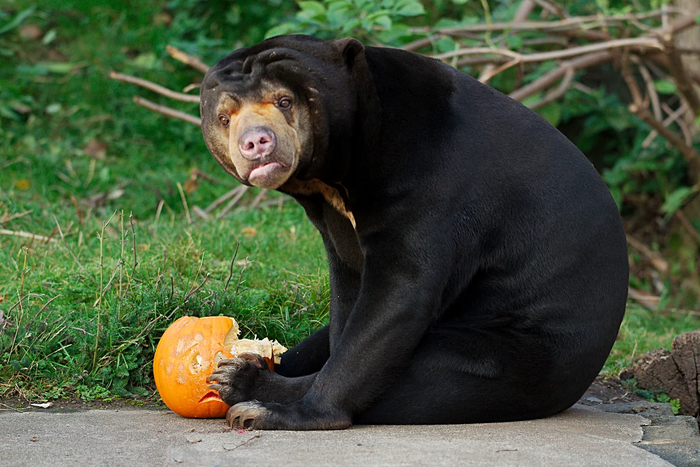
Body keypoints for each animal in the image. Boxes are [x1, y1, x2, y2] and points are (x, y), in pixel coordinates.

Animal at [198, 35, 628, 432]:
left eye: (285, 101)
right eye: (225, 118)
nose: (256, 143)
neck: (339, 173)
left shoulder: (431, 184)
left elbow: (399, 293)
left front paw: (290, 412)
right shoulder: (335, 220)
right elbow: (349, 296)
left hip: (524, 354)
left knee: (427, 375)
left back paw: (245, 386)